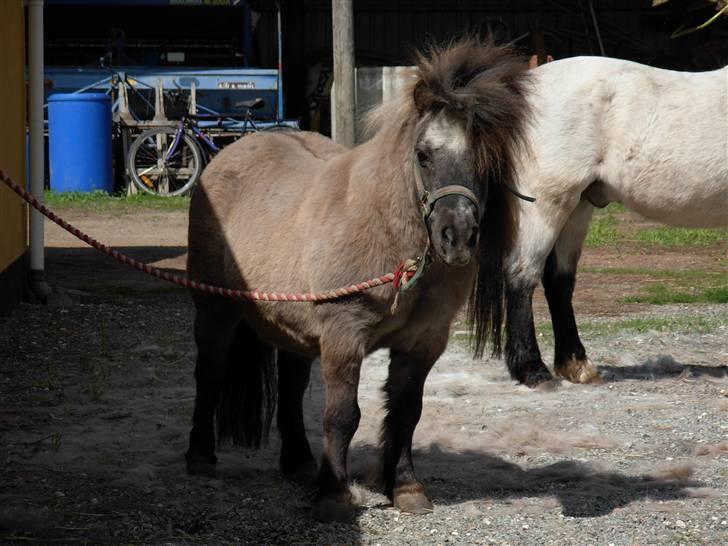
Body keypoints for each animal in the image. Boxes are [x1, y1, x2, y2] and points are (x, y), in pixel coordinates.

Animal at [185, 39, 532, 520]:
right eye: (423, 154)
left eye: (487, 160)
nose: (458, 236)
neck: (387, 231)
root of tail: (227, 156)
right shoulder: (343, 333)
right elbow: (342, 414)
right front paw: (334, 494)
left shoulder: (423, 342)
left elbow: (406, 412)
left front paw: (404, 487)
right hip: (215, 311)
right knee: (211, 373)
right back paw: (200, 457)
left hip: (292, 326)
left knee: (292, 389)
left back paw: (299, 463)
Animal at [500, 57, 728, 384]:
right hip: (546, 203)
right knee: (522, 274)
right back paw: (533, 370)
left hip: (578, 208)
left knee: (559, 280)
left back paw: (575, 365)